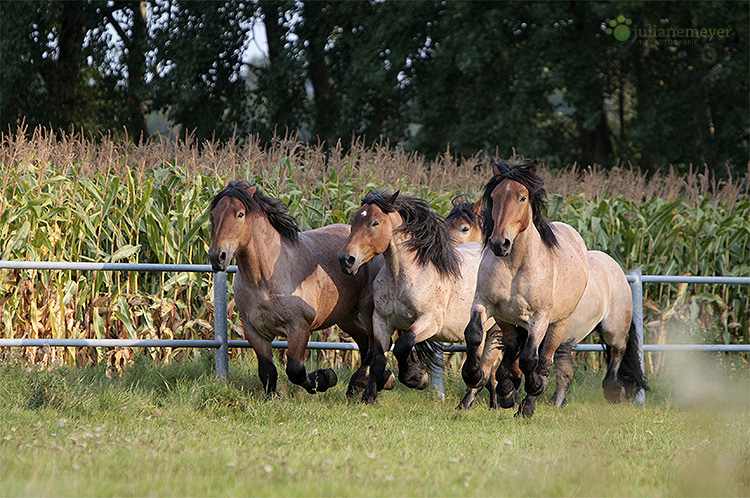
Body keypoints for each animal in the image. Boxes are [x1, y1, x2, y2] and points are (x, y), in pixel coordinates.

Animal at [209, 181, 396, 398]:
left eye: (239, 214)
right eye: (214, 214)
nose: (217, 256)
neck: (265, 279)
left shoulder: (299, 327)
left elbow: (295, 370)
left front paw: (325, 378)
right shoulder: (253, 330)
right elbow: (267, 370)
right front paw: (272, 397)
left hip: (367, 311)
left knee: (375, 346)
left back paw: (370, 382)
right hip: (346, 317)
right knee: (365, 344)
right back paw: (364, 384)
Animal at [340, 189, 494, 402]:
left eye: (375, 223)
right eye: (354, 219)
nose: (346, 260)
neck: (402, 276)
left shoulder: (429, 321)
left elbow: (402, 345)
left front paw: (416, 378)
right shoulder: (381, 321)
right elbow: (378, 358)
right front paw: (368, 398)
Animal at [452, 195, 652, 408]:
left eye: (464, 228)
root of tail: (615, 266)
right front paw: (506, 395)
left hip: (612, 328)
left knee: (617, 350)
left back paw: (612, 389)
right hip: (566, 338)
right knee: (566, 372)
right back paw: (555, 402)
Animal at [464, 159, 592, 416]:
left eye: (522, 197)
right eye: (494, 196)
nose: (499, 243)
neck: (515, 265)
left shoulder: (540, 317)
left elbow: (530, 359)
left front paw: (534, 388)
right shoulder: (487, 305)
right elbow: (475, 335)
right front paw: (474, 376)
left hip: (559, 324)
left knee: (544, 359)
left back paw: (528, 403)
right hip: (512, 320)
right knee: (513, 348)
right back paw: (507, 389)